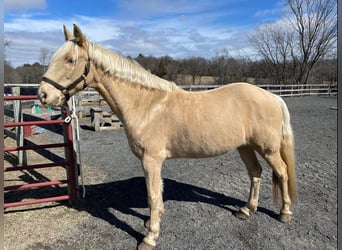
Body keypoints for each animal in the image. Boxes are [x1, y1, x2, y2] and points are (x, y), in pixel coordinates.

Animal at [38, 24, 296, 249]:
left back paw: (284, 212)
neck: (146, 105)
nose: (43, 95)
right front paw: (151, 222)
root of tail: (273, 97)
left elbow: (153, 196)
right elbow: (156, 195)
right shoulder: (151, 162)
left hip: (268, 148)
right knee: (255, 173)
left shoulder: (151, 160)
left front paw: (150, 237)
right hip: (245, 146)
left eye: (70, 60)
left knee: (281, 172)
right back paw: (246, 209)